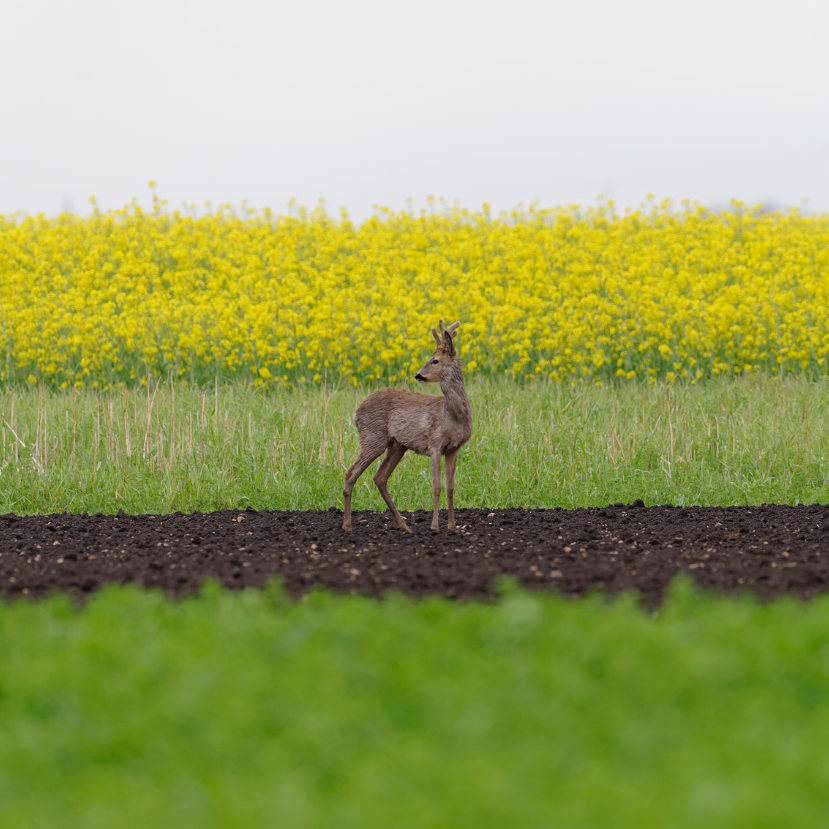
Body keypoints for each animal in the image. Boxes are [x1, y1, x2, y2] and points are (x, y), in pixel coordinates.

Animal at [342, 320, 472, 532]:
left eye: (435, 361)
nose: (418, 375)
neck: (453, 416)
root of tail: (356, 411)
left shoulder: (454, 448)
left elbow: (450, 487)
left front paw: (452, 526)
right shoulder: (434, 444)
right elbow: (437, 486)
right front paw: (435, 527)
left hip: (397, 445)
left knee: (379, 477)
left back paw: (403, 525)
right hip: (372, 438)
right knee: (350, 472)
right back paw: (347, 526)